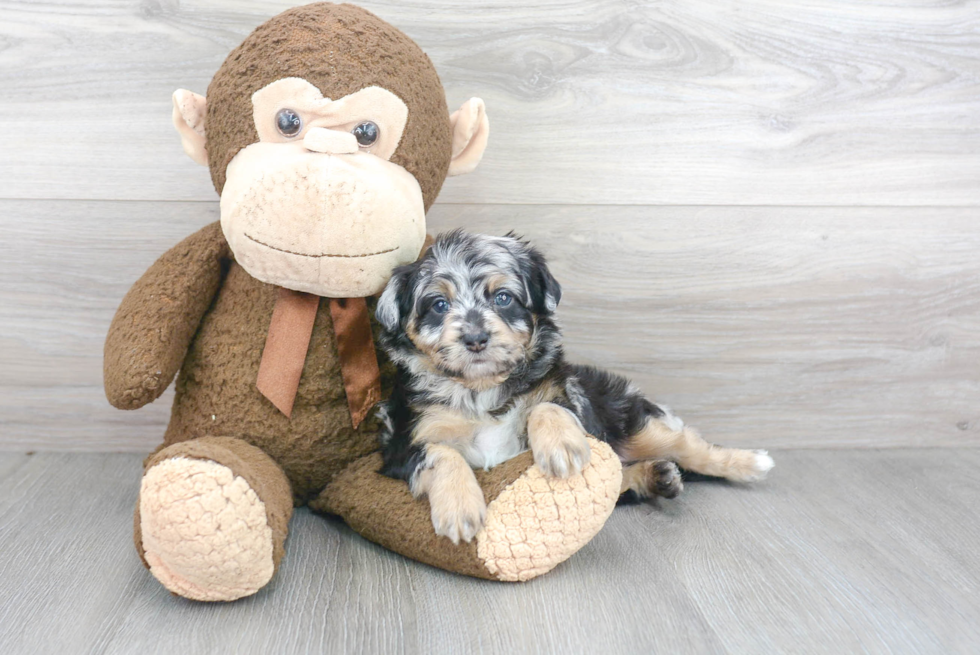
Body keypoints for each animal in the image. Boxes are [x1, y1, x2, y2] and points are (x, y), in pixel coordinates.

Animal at [376, 231, 772, 544]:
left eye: (503, 298)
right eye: (438, 305)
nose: (475, 339)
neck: (481, 388)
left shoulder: (568, 394)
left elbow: (546, 406)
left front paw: (561, 446)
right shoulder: (403, 443)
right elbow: (442, 453)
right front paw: (460, 509)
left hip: (630, 419)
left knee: (690, 446)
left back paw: (751, 462)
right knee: (619, 478)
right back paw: (656, 477)